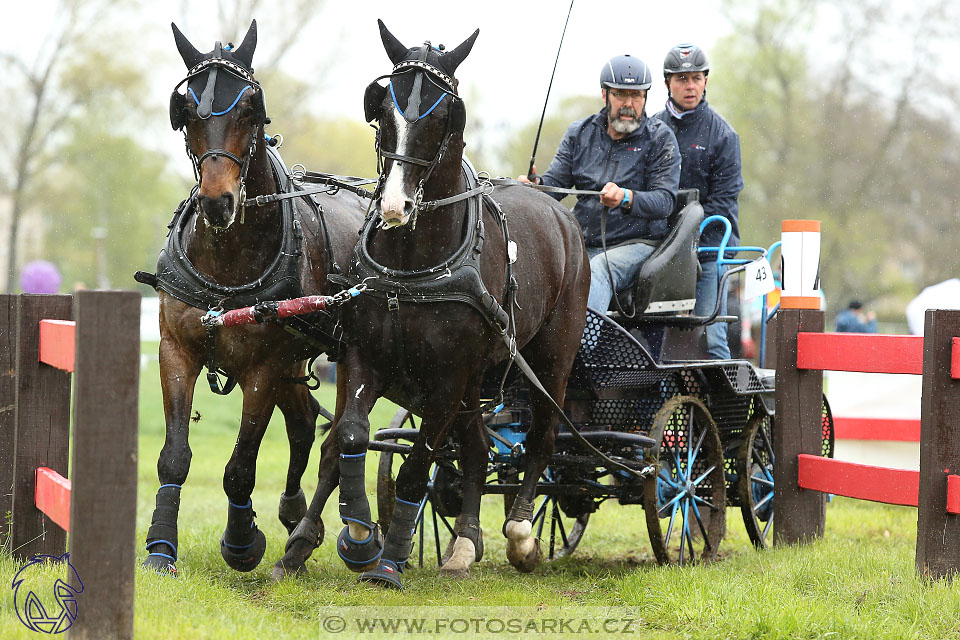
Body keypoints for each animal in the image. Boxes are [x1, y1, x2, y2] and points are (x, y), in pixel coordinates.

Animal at [139, 22, 368, 576]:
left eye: (250, 108)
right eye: (186, 111)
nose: (218, 202)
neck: (227, 260)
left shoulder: (262, 367)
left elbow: (241, 466)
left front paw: (241, 542)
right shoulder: (176, 349)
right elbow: (173, 456)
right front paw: (160, 547)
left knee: (336, 441)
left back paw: (304, 538)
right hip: (296, 360)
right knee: (305, 425)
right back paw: (293, 512)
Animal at [274, 21, 588, 592]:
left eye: (444, 115)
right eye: (382, 106)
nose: (395, 205)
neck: (412, 262)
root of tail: (559, 210)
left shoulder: (447, 378)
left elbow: (416, 465)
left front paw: (390, 558)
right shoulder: (365, 357)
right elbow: (347, 437)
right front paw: (345, 536)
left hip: (549, 359)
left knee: (541, 437)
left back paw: (521, 535)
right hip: (479, 377)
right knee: (477, 446)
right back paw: (463, 543)